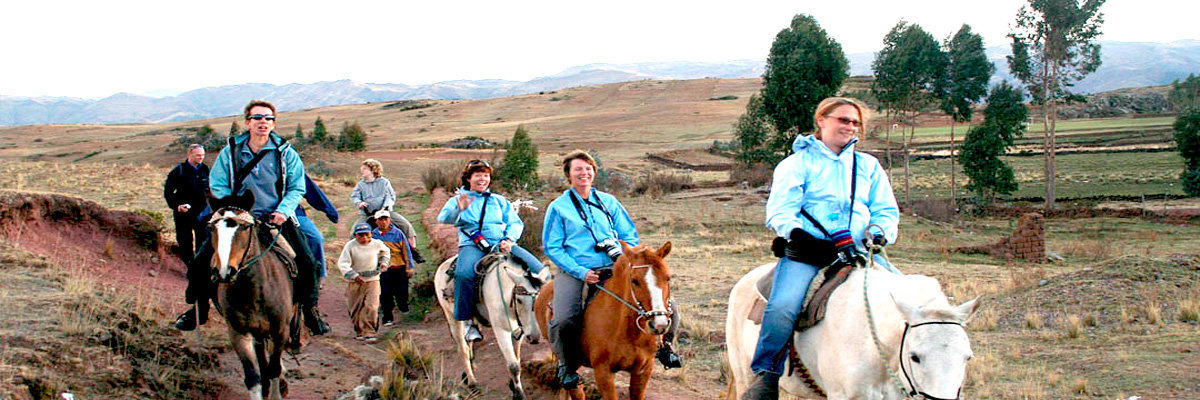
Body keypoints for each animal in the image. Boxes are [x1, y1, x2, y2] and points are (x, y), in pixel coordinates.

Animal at [208, 205, 297, 398]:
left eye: (244, 228)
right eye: (211, 228)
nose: (224, 271)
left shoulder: (280, 330)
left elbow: (274, 369)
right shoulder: (238, 332)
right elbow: (253, 378)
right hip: (257, 333)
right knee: (262, 362)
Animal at [434, 251, 547, 396]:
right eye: (519, 300)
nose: (535, 338)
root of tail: (442, 266)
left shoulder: (519, 330)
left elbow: (516, 358)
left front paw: (512, 385)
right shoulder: (501, 331)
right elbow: (514, 366)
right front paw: (519, 394)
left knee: (469, 342)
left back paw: (469, 371)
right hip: (453, 318)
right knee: (463, 349)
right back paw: (472, 383)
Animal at [535, 240, 676, 398]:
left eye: (668, 278)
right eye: (635, 281)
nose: (659, 325)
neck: (629, 331)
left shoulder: (644, 370)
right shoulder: (603, 372)